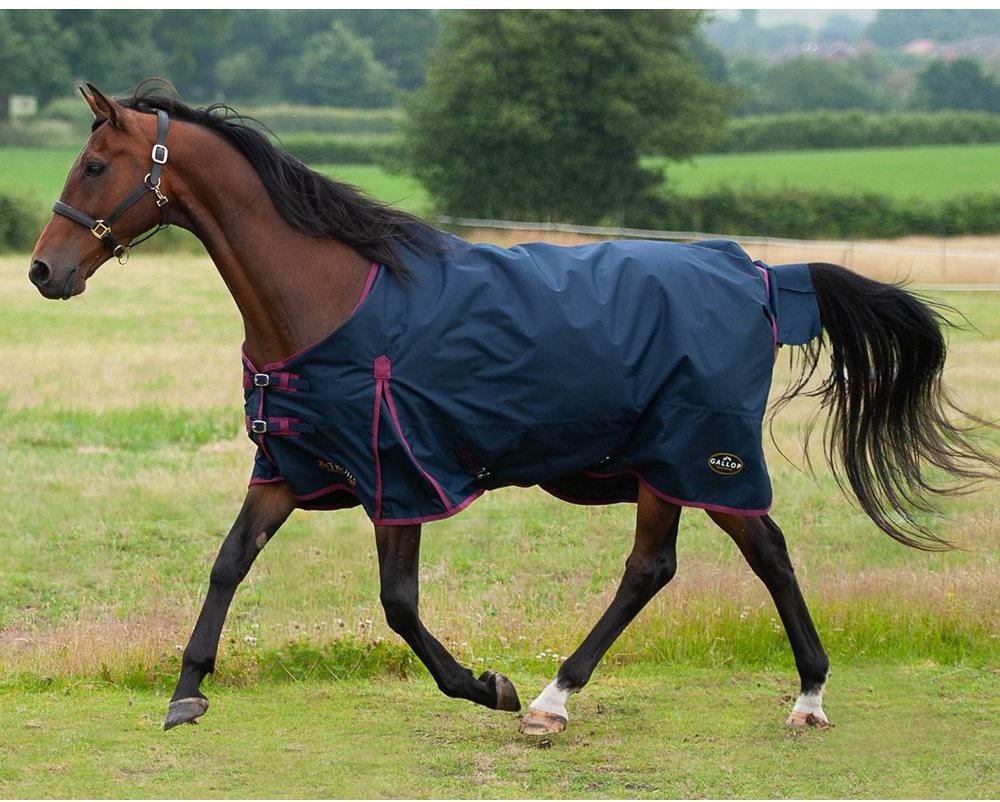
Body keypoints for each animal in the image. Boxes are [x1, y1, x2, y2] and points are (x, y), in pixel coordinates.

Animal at [28, 83, 998, 736]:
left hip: (693, 457)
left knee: (712, 562)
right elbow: (229, 562)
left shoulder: (400, 475)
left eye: (95, 164)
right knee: (695, 563)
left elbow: (398, 604)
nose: (44, 271)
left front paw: (485, 686)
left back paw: (590, 698)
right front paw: (187, 690)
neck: (327, 297)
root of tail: (759, 275)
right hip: (668, 466)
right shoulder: (290, 466)